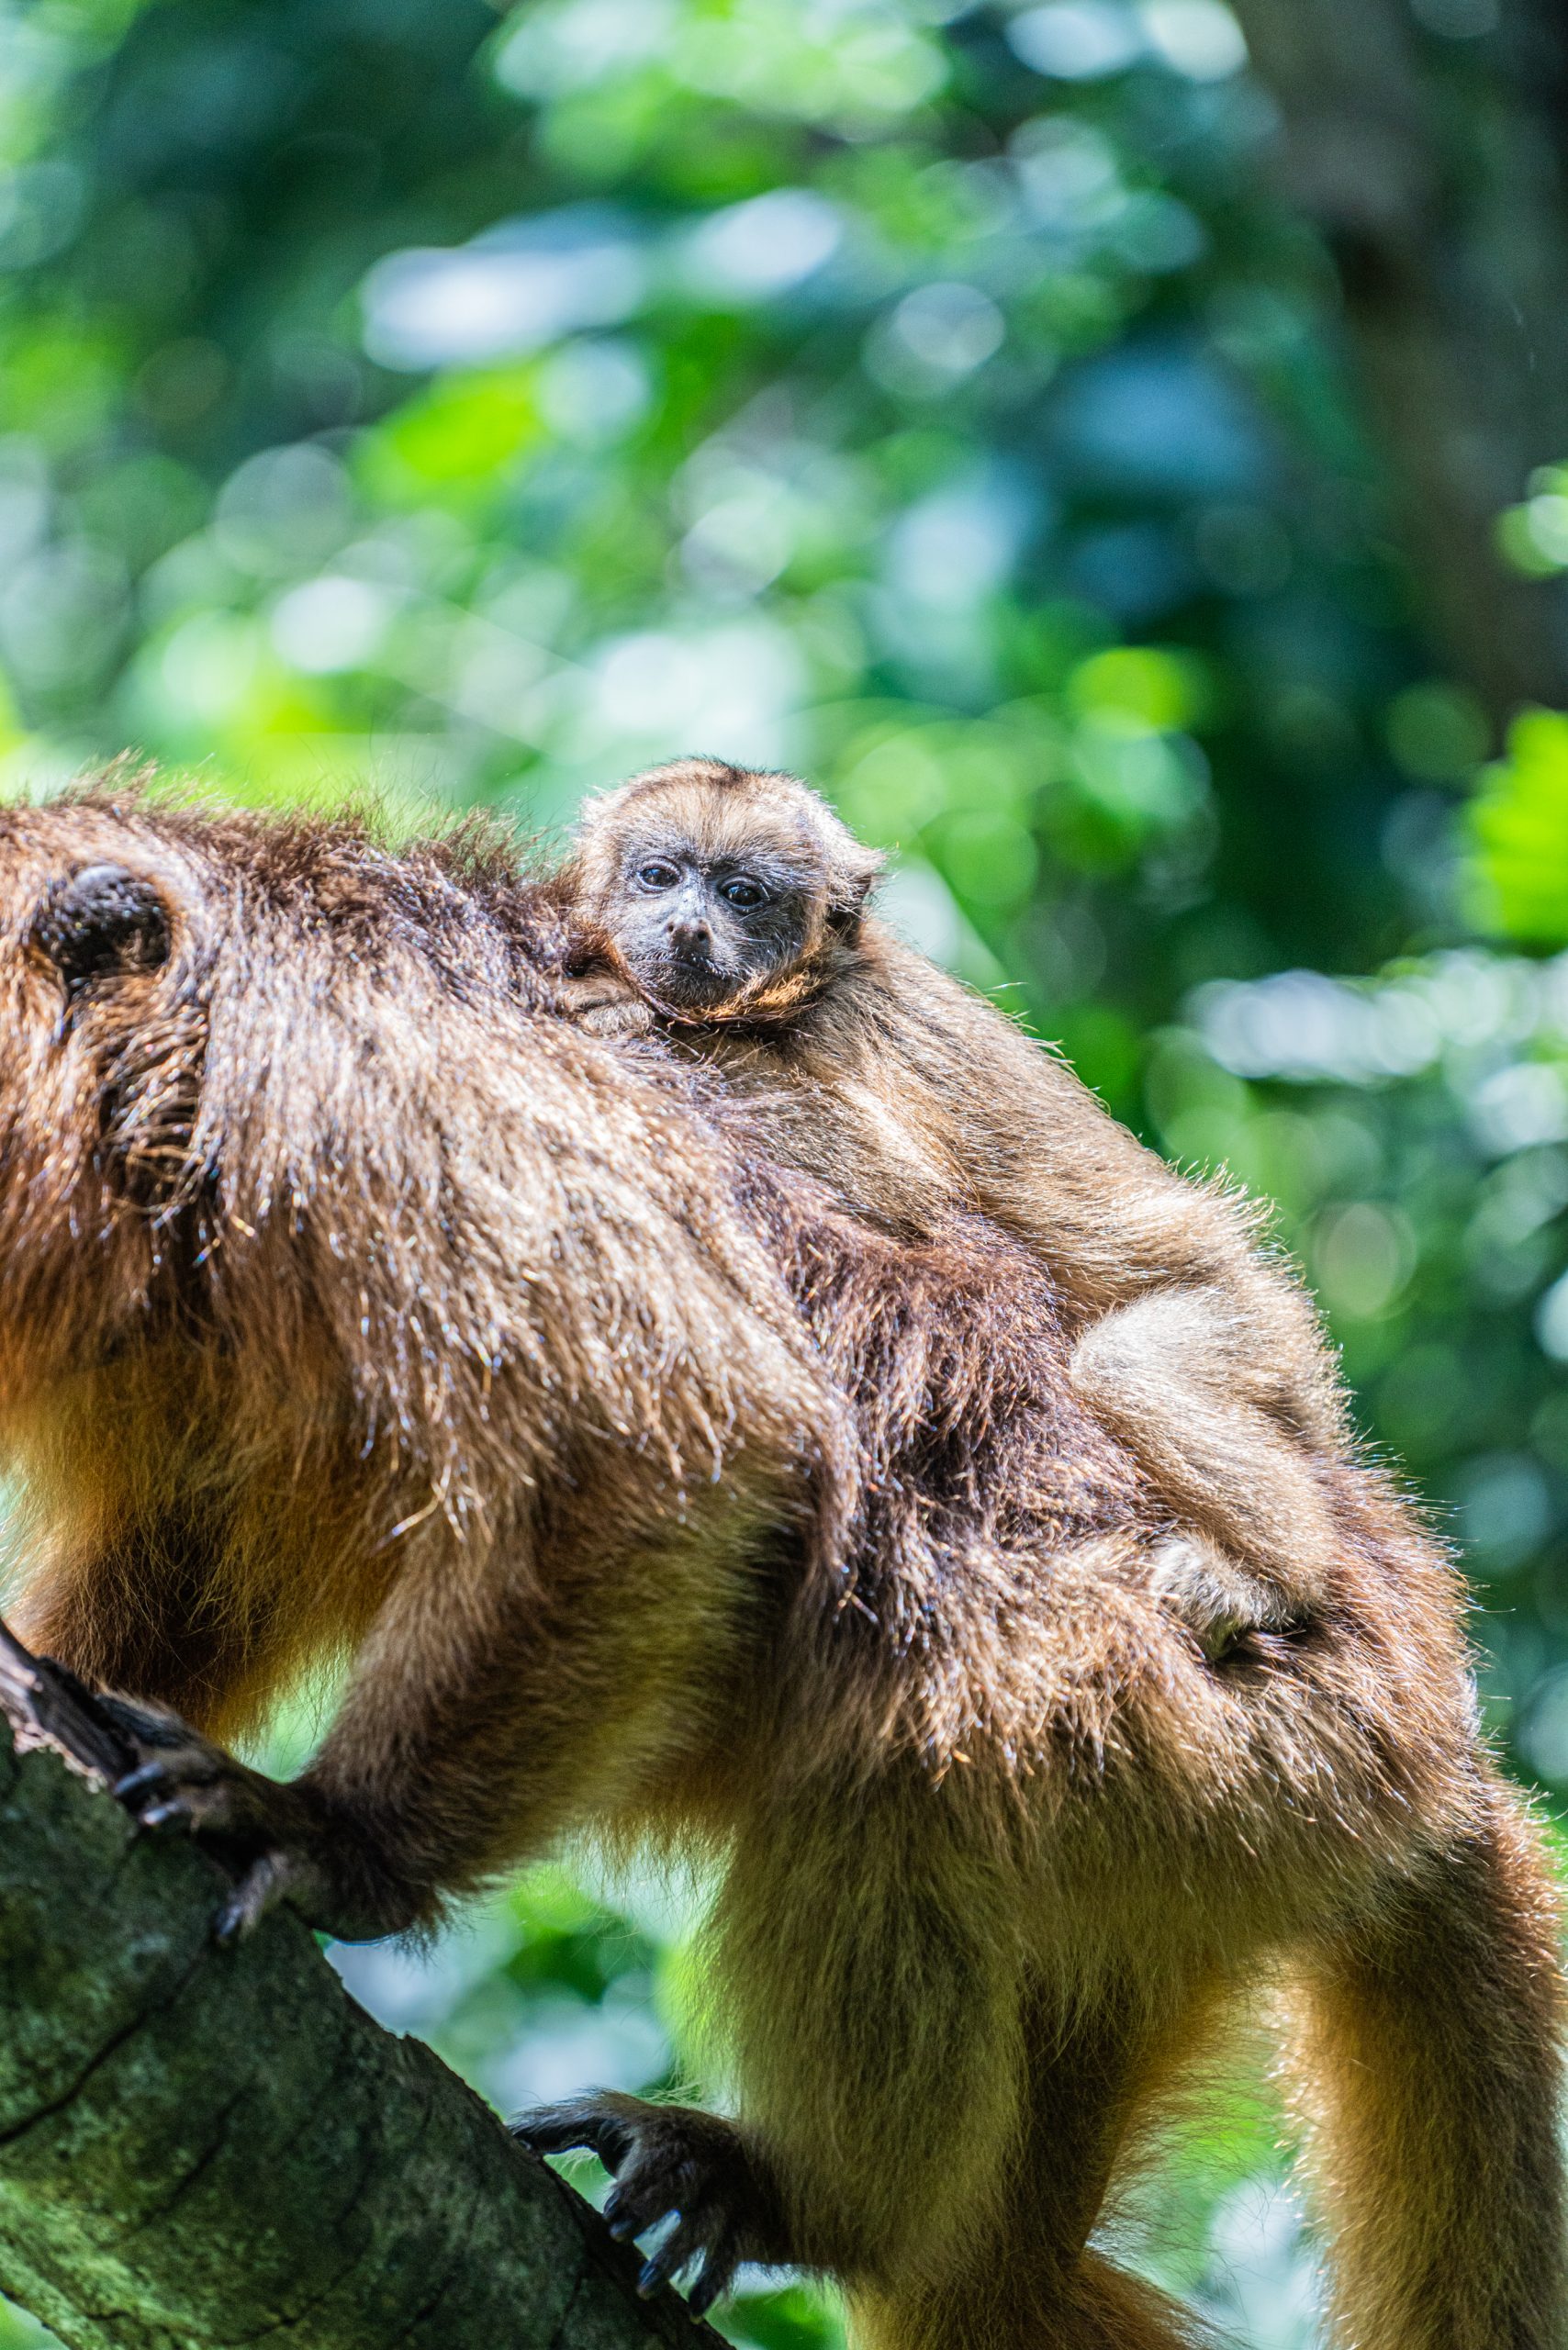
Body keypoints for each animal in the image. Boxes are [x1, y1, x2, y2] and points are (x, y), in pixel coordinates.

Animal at [553, 756, 1357, 1634]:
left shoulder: (846, 1025)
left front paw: (638, 1019)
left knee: (1128, 1365)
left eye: (742, 894)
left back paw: (1273, 1579)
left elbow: (902, 1190)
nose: (687, 926)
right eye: (658, 877)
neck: (786, 1005)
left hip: (1248, 1323)